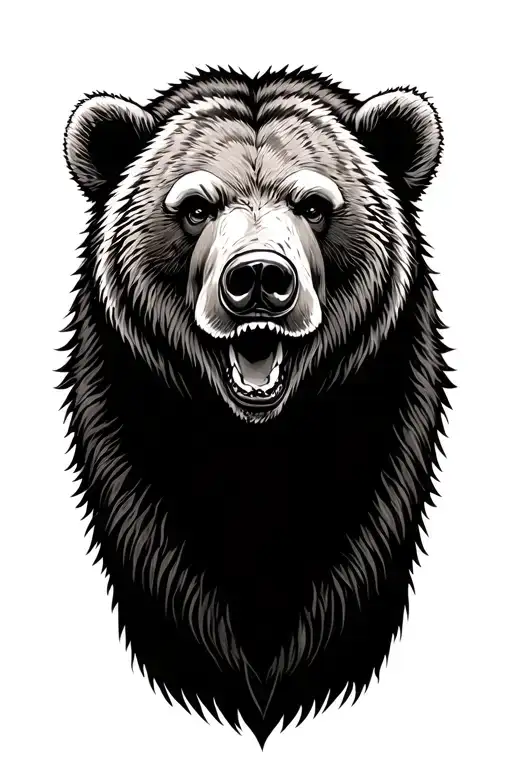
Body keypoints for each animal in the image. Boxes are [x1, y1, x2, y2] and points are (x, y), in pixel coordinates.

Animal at [62, 66, 451, 748]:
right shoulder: (133, 433)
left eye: (314, 204)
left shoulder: (379, 431)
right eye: (195, 206)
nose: (261, 279)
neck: (256, 438)